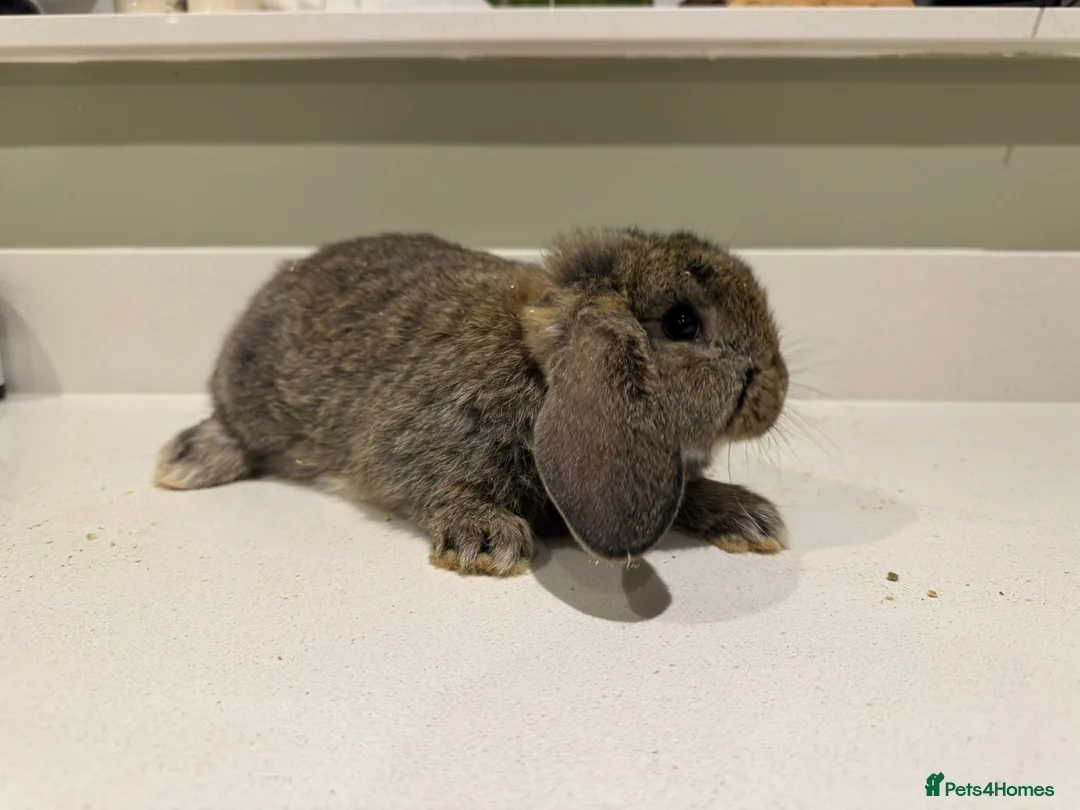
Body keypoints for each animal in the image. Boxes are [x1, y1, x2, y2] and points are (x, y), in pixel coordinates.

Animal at [155, 229, 789, 576]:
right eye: (682, 323)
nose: (777, 390)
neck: (540, 372)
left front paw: (749, 517)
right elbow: (438, 486)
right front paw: (486, 541)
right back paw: (185, 463)